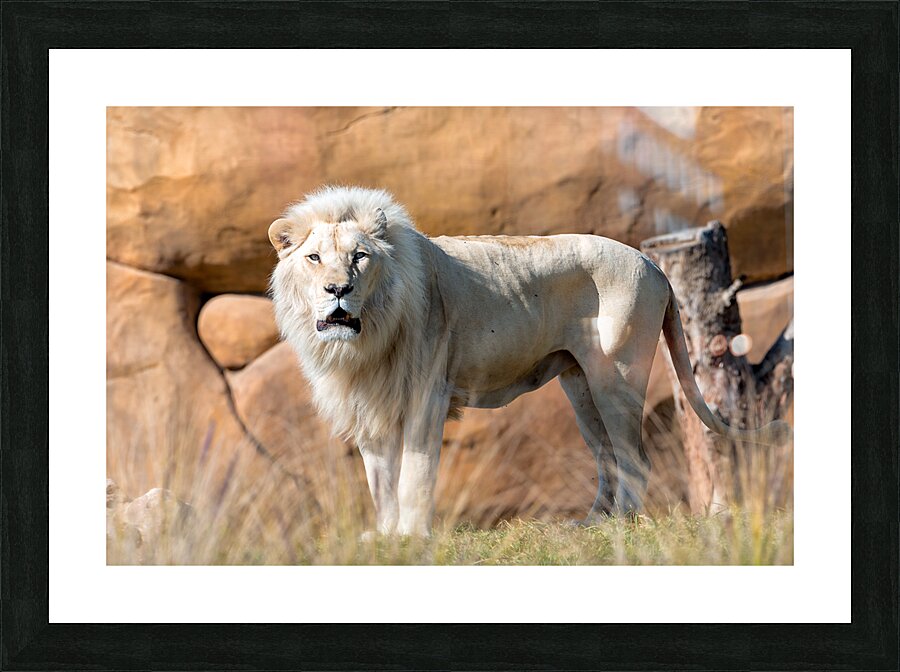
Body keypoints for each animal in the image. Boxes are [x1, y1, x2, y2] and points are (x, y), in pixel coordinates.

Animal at [268, 186, 785, 536]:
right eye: (314, 258)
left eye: (359, 257)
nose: (338, 290)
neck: (365, 342)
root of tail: (653, 262)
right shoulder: (369, 403)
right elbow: (380, 479)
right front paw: (386, 537)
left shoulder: (427, 395)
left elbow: (414, 474)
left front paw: (413, 537)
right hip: (580, 385)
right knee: (607, 456)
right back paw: (591, 524)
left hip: (615, 375)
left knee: (634, 457)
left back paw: (621, 524)